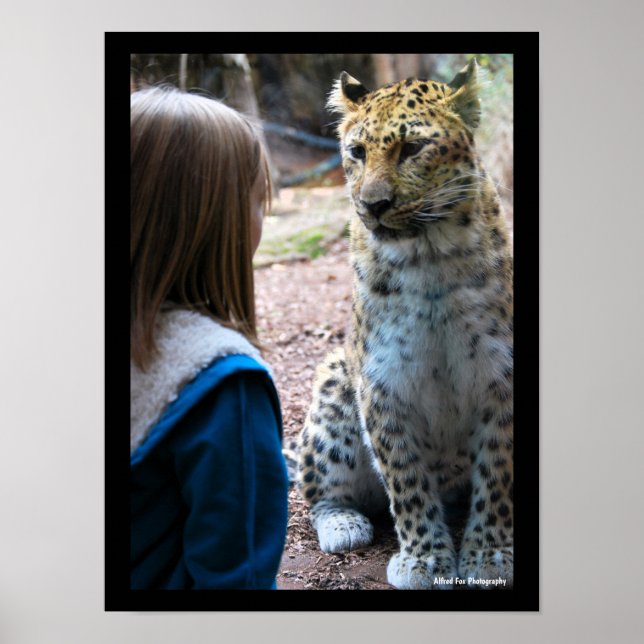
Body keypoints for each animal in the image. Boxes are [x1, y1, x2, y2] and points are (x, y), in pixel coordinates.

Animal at [296, 59, 514, 590]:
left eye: (412, 149)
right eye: (356, 152)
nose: (373, 204)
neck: (428, 255)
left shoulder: (501, 374)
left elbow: (497, 470)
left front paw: (489, 553)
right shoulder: (383, 380)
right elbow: (405, 475)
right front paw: (424, 559)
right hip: (334, 383)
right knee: (318, 491)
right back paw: (344, 525)